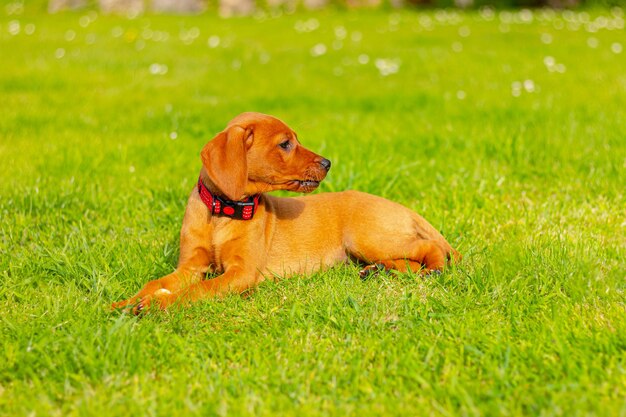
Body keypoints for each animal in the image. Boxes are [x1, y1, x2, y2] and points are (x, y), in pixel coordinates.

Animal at [111, 110, 458, 312]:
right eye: (285, 144)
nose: (328, 163)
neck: (222, 213)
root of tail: (403, 208)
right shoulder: (190, 266)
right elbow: (155, 283)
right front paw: (126, 302)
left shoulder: (241, 272)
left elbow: (198, 289)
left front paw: (158, 304)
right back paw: (380, 271)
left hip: (368, 237)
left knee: (429, 248)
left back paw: (433, 270)